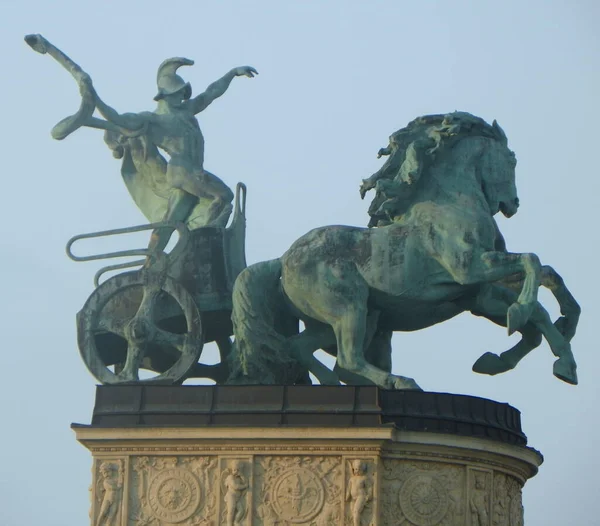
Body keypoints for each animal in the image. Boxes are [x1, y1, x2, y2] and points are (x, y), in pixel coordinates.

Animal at [227, 113, 580, 390]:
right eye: (512, 159)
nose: (512, 204)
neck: (451, 204)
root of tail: (282, 261)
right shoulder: (470, 269)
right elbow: (532, 262)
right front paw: (520, 316)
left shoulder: (476, 295)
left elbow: (541, 300)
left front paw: (549, 361)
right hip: (349, 307)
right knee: (348, 358)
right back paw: (400, 382)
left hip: (339, 319)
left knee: (301, 348)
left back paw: (334, 385)